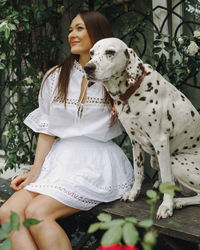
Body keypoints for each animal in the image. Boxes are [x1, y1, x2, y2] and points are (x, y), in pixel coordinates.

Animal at [84, 37, 200, 219]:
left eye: (110, 52)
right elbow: (138, 172)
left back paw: (178, 201)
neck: (132, 92)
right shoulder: (135, 140)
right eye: (92, 53)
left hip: (176, 161)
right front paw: (133, 193)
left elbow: (167, 177)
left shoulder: (160, 142)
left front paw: (166, 206)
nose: (88, 67)